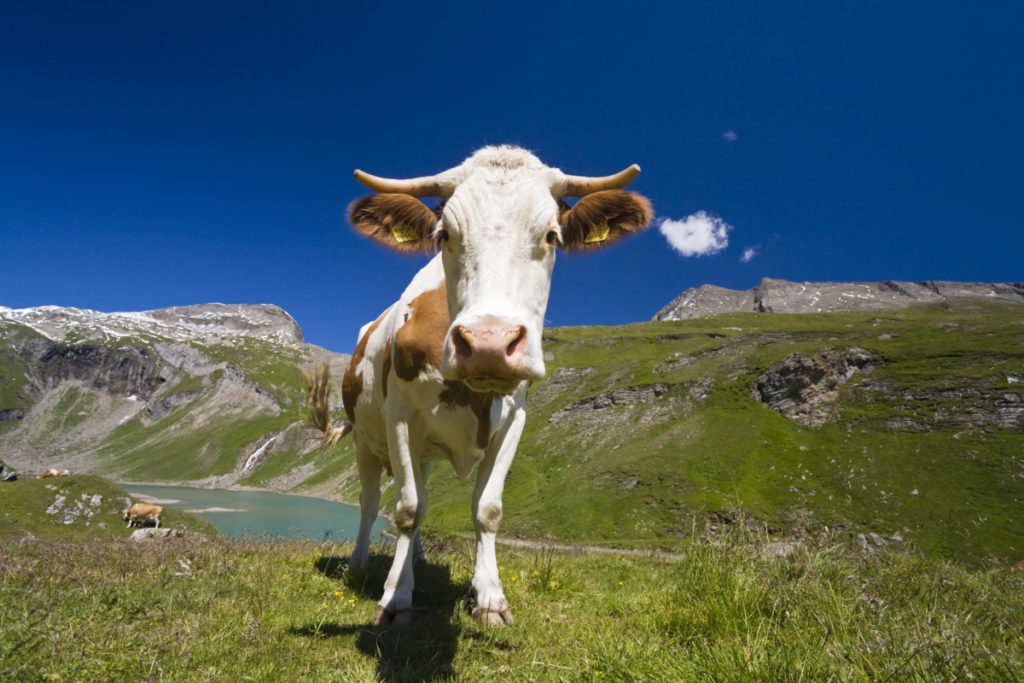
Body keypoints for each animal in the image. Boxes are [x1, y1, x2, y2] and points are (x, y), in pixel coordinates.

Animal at [307, 147, 651, 626]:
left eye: (552, 235)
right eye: (444, 235)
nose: (489, 343)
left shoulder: (514, 420)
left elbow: (485, 509)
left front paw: (489, 597)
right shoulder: (400, 419)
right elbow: (407, 510)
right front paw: (396, 598)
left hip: (423, 453)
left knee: (421, 493)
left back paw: (415, 561)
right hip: (365, 440)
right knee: (372, 500)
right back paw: (360, 566)